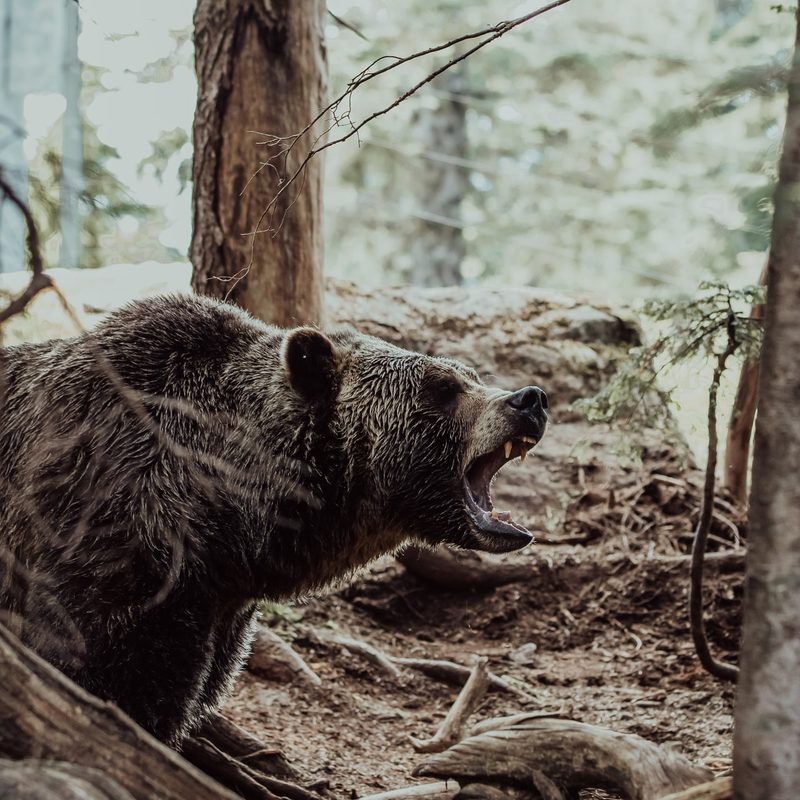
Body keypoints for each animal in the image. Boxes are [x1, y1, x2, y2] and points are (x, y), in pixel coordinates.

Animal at [0, 293, 548, 745]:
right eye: (443, 387)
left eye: (471, 375)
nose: (530, 399)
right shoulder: (107, 537)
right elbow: (101, 674)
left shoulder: (215, 607)